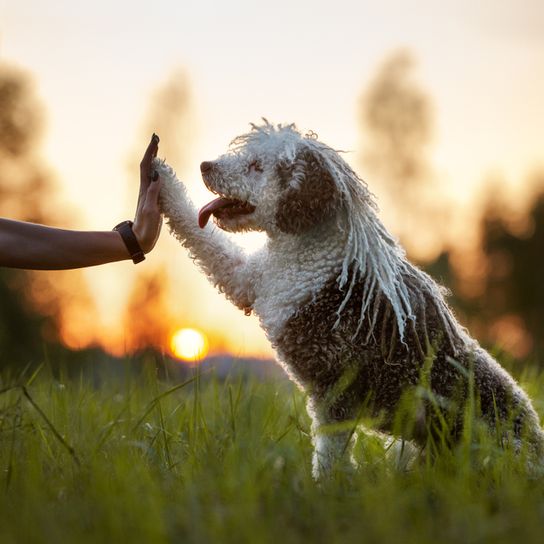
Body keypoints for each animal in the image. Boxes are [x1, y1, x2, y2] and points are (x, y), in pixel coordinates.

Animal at [154, 119, 544, 476]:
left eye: (256, 166)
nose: (206, 166)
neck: (312, 251)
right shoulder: (250, 279)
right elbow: (205, 240)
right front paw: (162, 179)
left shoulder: (334, 389)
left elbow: (330, 455)